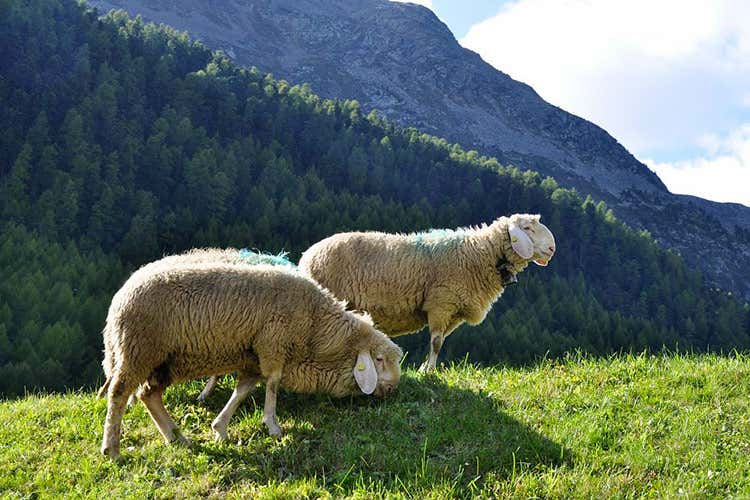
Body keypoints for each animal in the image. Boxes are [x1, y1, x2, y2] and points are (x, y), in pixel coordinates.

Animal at [98, 260, 403, 460]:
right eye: (378, 359)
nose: (392, 390)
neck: (316, 328)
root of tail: (119, 298)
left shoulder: (253, 357)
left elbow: (243, 390)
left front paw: (220, 428)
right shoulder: (273, 344)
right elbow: (273, 383)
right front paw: (273, 426)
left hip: (165, 361)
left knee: (149, 395)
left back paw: (177, 437)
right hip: (138, 351)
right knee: (119, 393)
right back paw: (112, 449)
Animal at [298, 213, 556, 372]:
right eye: (527, 228)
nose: (553, 248)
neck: (480, 254)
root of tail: (306, 257)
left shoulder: (455, 312)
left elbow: (440, 342)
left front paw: (424, 367)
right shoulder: (442, 302)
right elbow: (436, 342)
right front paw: (429, 371)